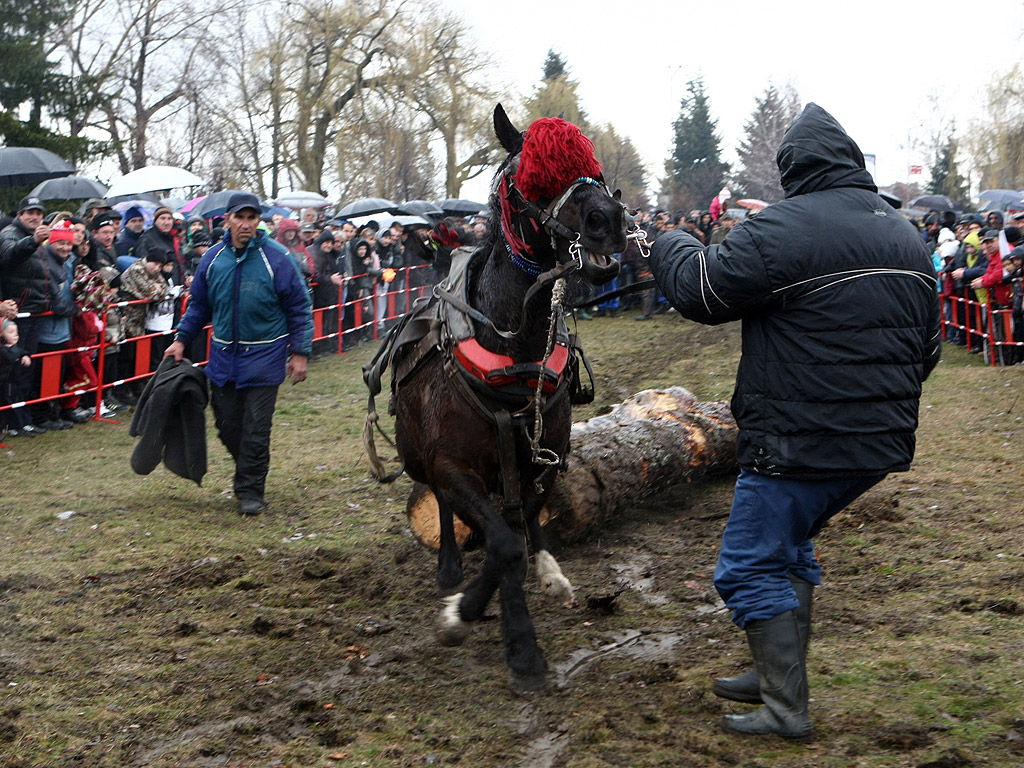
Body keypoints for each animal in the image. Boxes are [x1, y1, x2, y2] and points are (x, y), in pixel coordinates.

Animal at [360, 103, 630, 692]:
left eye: (594, 170)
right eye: (536, 177)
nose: (610, 220)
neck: (514, 348)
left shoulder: (546, 458)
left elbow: (515, 531)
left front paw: (494, 600)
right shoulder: (453, 465)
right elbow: (500, 543)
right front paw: (513, 642)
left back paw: (546, 570)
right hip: (419, 454)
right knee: (437, 500)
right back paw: (449, 570)